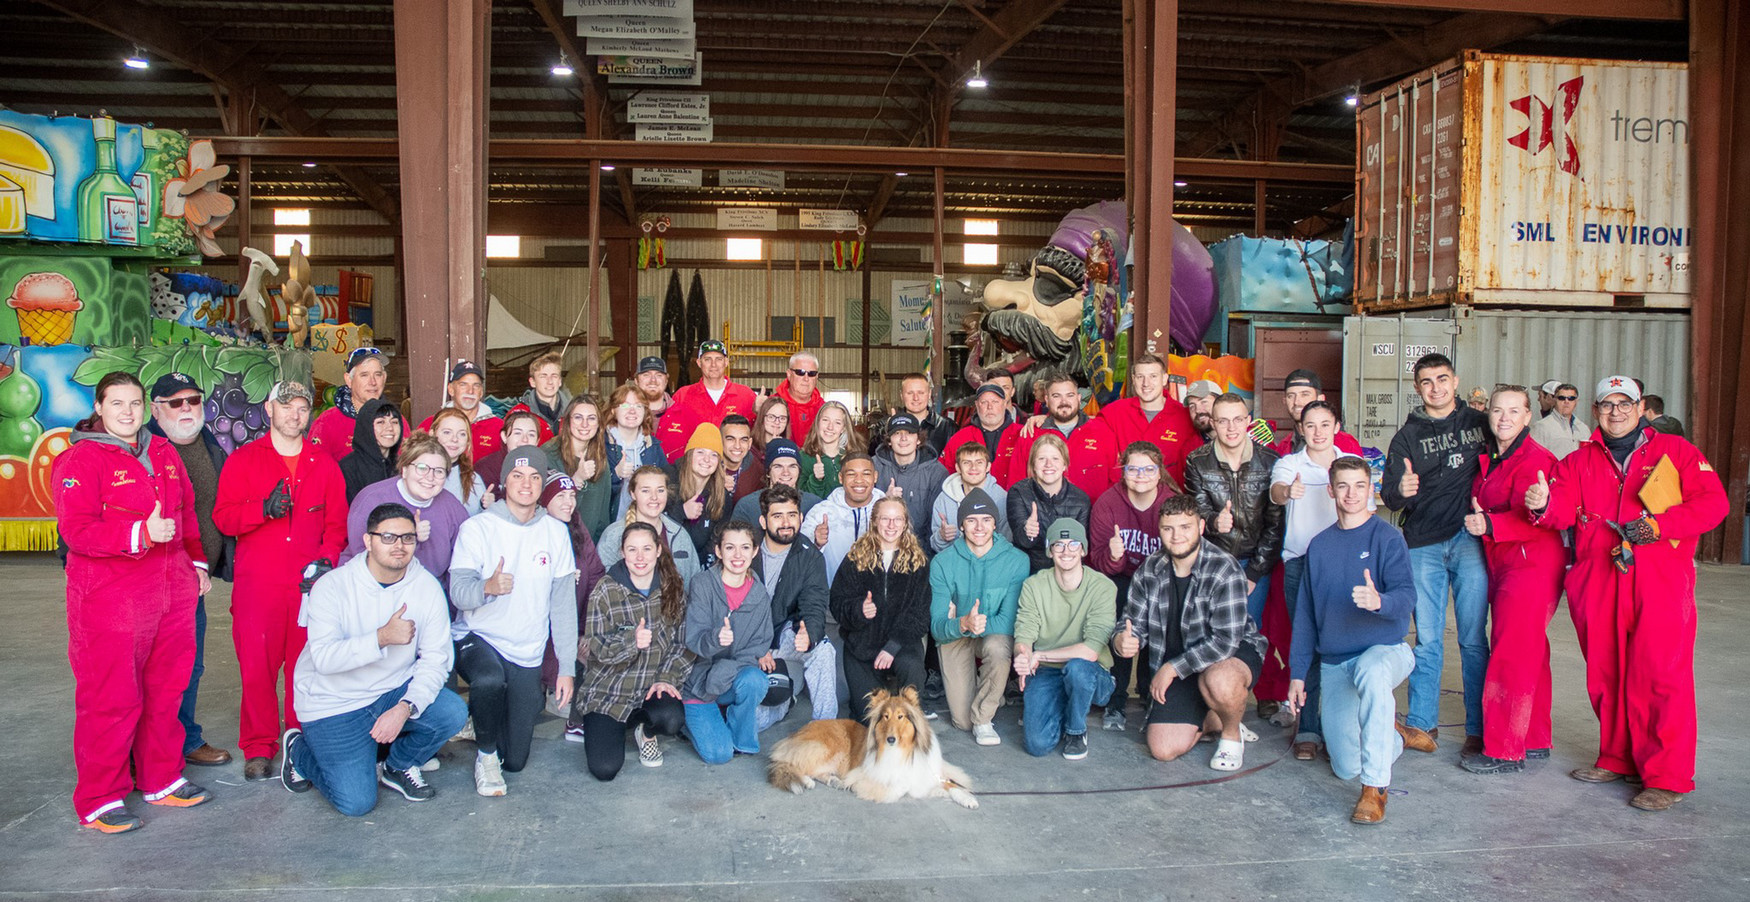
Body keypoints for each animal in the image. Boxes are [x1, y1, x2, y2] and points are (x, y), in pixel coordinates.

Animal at [770, 690, 980, 809]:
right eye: (886, 716)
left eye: (901, 716)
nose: (890, 739)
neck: (904, 750)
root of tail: (797, 732)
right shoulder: (865, 775)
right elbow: (899, 787)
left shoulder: (929, 773)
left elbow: (951, 785)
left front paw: (966, 799)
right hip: (827, 748)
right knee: (794, 763)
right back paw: (806, 781)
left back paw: (832, 780)